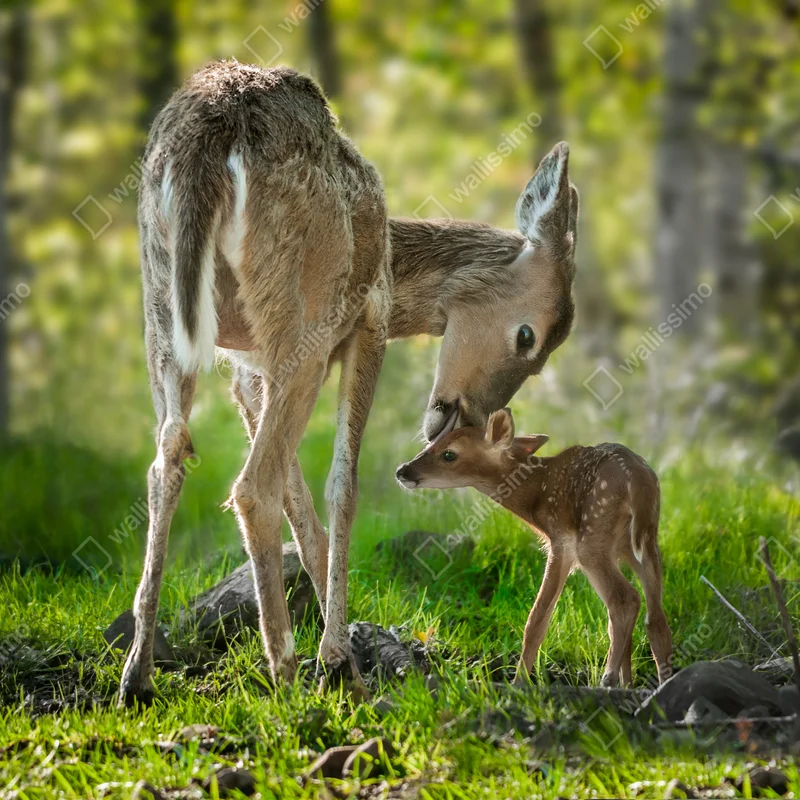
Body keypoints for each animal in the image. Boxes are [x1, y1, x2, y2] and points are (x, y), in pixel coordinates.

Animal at [120, 59, 579, 705]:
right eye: (528, 339)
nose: (460, 418)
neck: (394, 263)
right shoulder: (369, 323)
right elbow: (343, 484)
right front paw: (338, 661)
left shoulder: (245, 369)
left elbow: (302, 503)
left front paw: (350, 659)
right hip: (301, 314)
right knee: (252, 486)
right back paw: (285, 673)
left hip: (162, 307)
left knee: (167, 461)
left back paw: (136, 672)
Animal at [395, 408, 673, 688]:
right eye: (431, 444)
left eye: (449, 453)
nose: (402, 470)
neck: (536, 496)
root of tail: (638, 480)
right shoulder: (616, 552)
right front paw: (628, 683)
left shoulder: (560, 542)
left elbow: (537, 617)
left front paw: (519, 682)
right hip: (646, 540)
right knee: (655, 617)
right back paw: (660, 680)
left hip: (593, 535)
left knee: (625, 599)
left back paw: (608, 678)